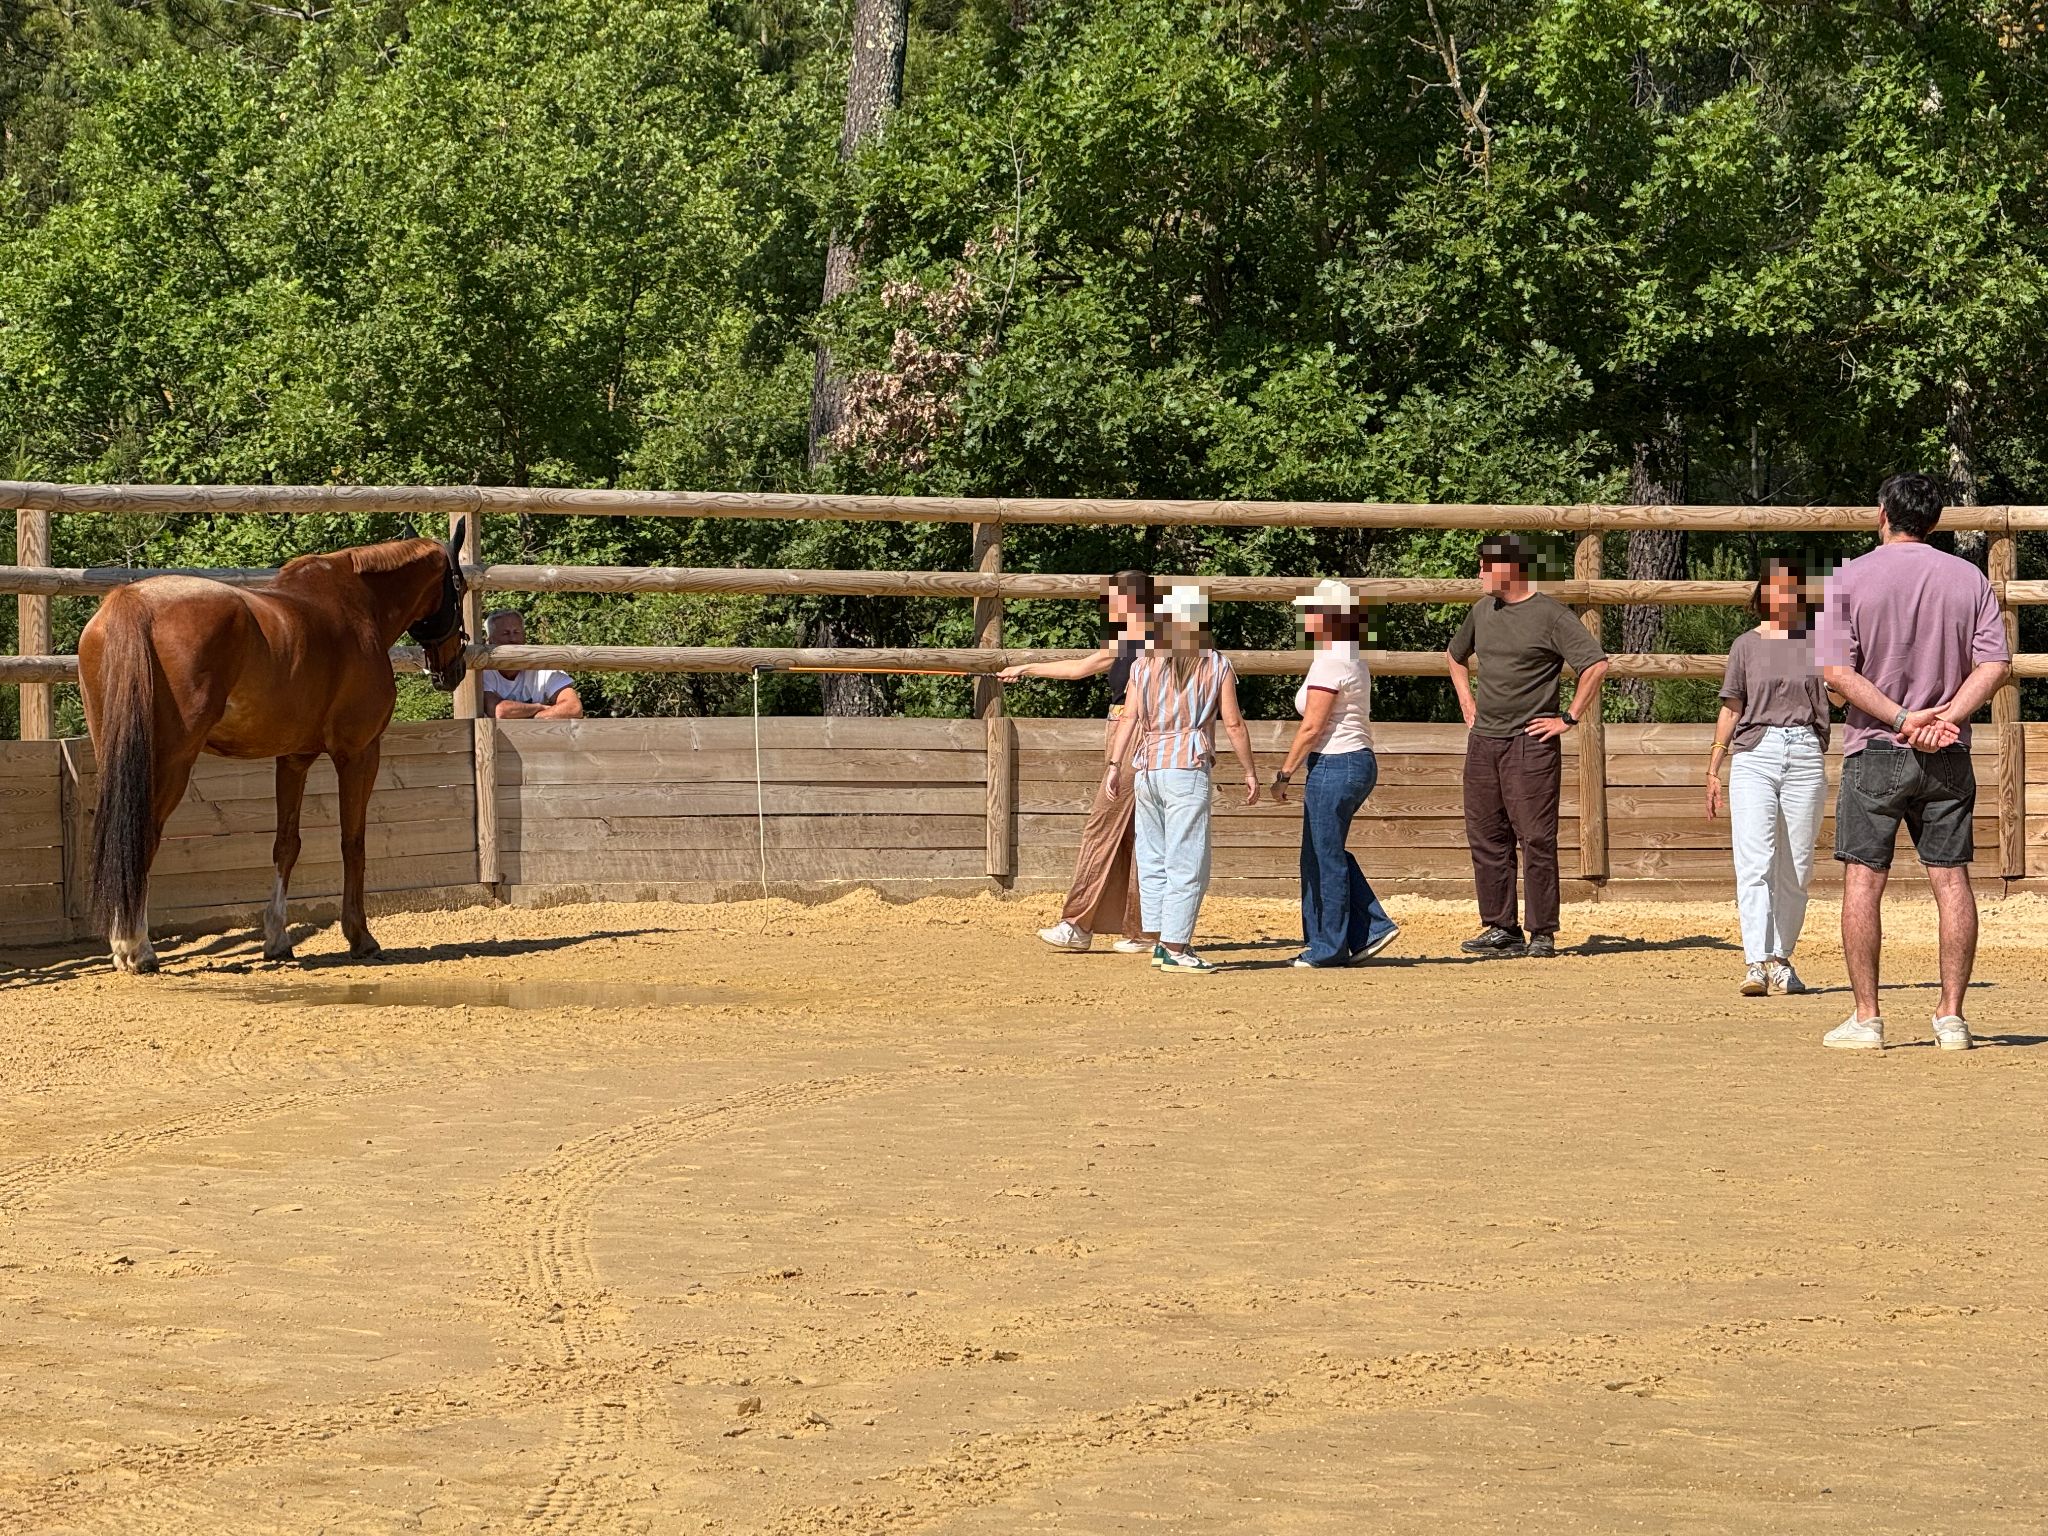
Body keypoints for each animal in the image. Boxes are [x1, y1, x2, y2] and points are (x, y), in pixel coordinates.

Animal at [79, 524, 471, 973]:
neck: (358, 603)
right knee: (142, 837)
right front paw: (360, 936)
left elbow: (287, 844)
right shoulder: (359, 752)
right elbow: (352, 842)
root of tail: (132, 602)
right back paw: (136, 948)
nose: (454, 668)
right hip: (170, 762)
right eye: (460, 587)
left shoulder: (293, 758)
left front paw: (278, 938)